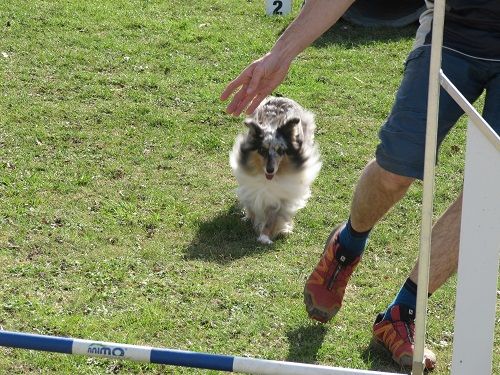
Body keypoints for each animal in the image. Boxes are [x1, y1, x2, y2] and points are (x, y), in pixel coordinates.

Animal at [229, 95, 320, 245]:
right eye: (262, 150)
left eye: (281, 151)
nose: (270, 170)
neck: (268, 180)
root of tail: (282, 97)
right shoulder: (251, 187)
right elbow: (252, 205)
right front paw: (250, 219)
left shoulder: (280, 196)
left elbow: (273, 217)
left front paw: (265, 236)